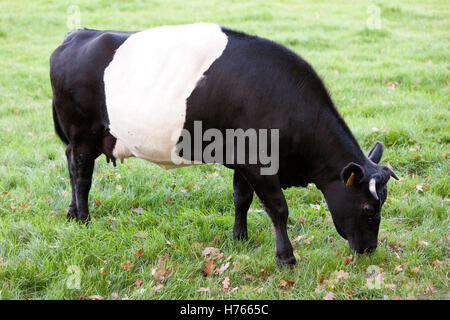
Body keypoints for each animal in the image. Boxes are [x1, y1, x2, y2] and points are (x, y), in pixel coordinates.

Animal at [51, 22, 400, 264]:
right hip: (83, 132)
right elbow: (278, 209)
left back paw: (71, 212)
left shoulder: (241, 159)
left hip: (80, 137)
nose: (369, 249)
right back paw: (83, 219)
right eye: (370, 209)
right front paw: (286, 257)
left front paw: (240, 238)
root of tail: (77, 34)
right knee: (81, 175)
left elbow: (241, 199)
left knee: (70, 164)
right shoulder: (260, 163)